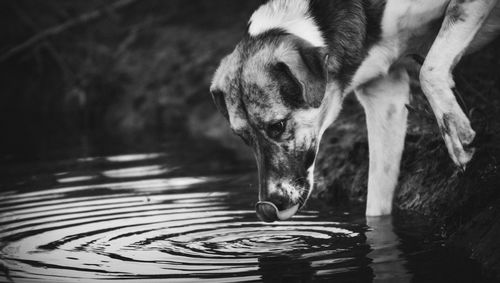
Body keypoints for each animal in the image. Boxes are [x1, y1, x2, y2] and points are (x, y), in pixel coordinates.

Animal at [208, 0, 500, 222]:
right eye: (242, 138)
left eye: (277, 126)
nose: (267, 209)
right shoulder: (385, 94)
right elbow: (376, 203)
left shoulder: (467, 6)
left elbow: (429, 68)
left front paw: (456, 133)